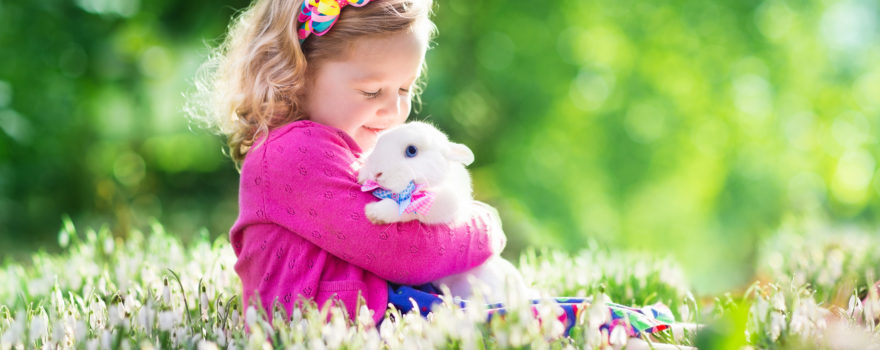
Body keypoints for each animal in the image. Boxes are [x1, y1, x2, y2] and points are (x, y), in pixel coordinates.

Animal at [356, 121, 532, 304]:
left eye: (411, 150)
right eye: (378, 142)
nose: (377, 173)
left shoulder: (441, 205)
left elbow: (409, 208)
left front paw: (375, 212)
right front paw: (363, 173)